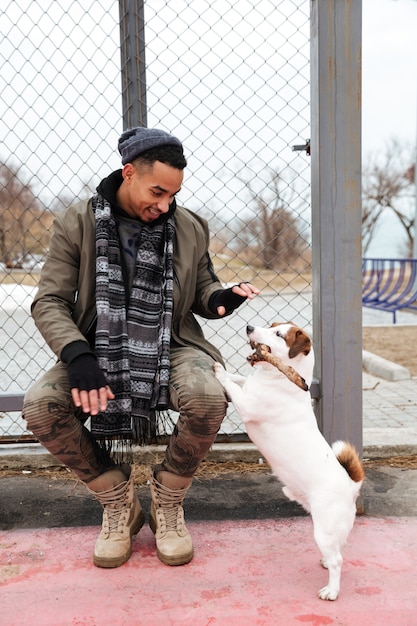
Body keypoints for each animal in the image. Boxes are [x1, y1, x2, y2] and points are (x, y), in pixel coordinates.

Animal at [213, 322, 362, 600]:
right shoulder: (248, 387)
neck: (285, 379)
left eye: (278, 335)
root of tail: (351, 485)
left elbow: (232, 384)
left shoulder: (247, 405)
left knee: (338, 561)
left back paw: (331, 590)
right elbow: (240, 379)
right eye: (271, 325)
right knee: (340, 548)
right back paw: (327, 562)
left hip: (323, 528)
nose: (249, 326)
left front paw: (220, 372)